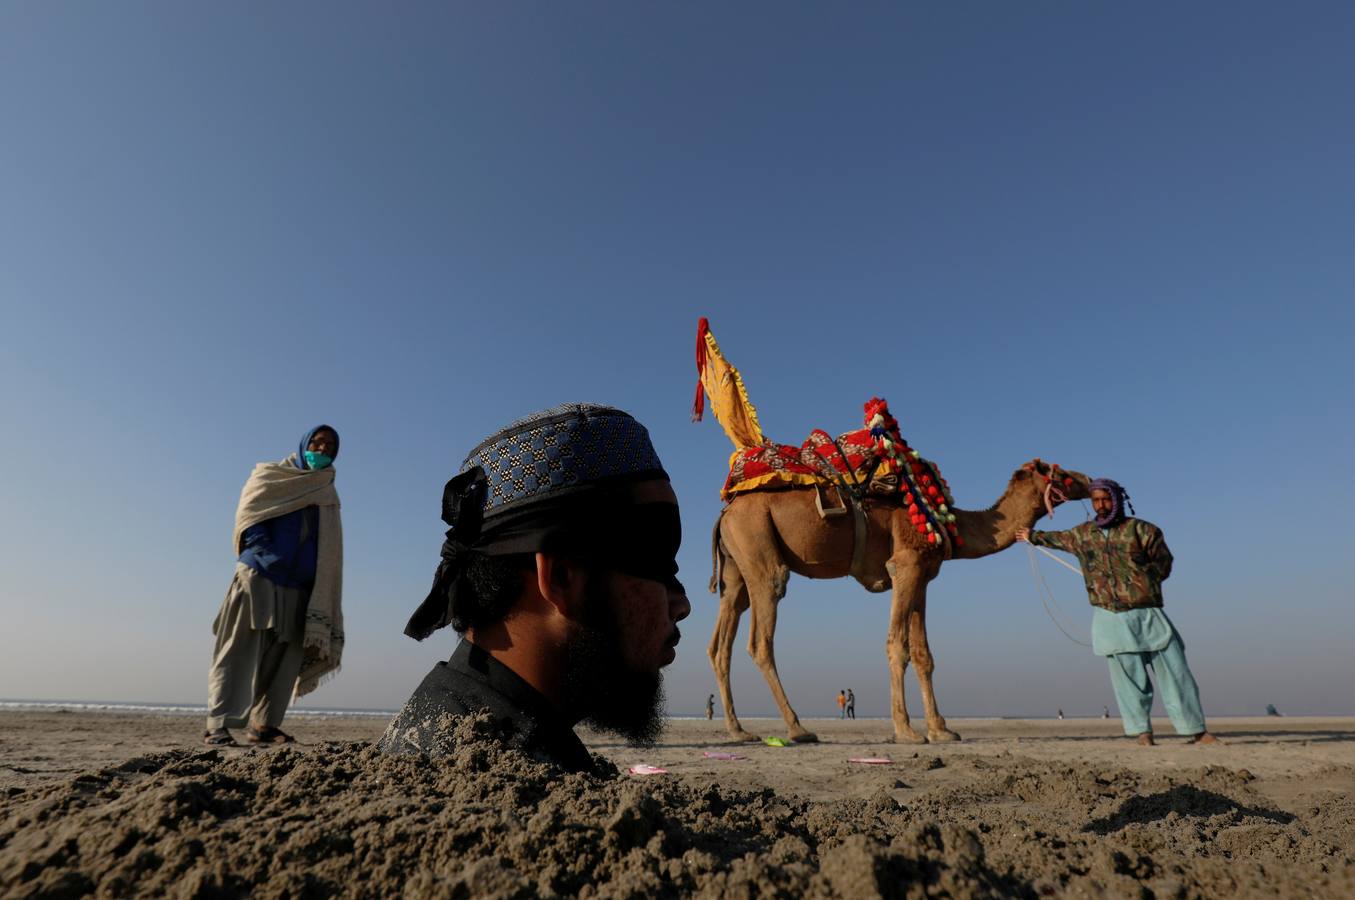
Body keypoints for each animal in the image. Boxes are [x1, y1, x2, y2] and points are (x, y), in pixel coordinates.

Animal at [693, 321, 1094, 742]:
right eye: (1056, 472)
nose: (1087, 479)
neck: (944, 516)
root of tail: (725, 512)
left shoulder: (924, 575)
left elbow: (924, 653)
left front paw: (942, 730)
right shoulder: (904, 564)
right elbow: (896, 645)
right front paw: (906, 730)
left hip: (736, 563)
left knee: (722, 640)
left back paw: (739, 730)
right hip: (757, 542)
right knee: (762, 633)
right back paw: (798, 728)